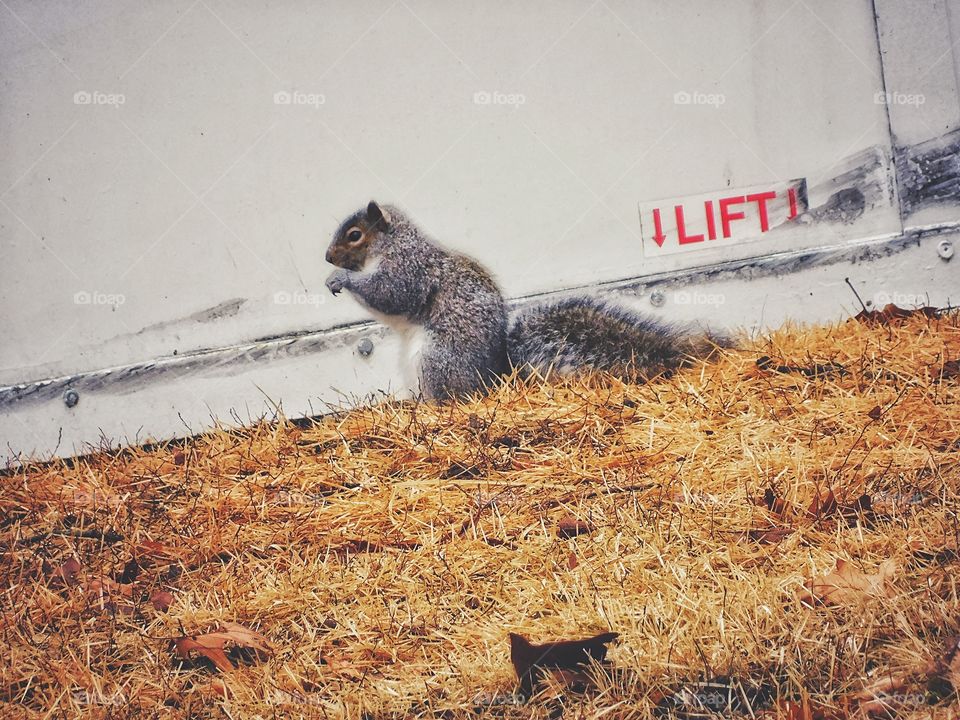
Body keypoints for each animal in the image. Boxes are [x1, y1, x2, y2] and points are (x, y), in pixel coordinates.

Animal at [325, 201, 727, 399]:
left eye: (355, 234)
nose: (328, 257)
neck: (390, 246)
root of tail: (495, 377)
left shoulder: (410, 269)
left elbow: (391, 294)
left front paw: (341, 279)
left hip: (436, 359)